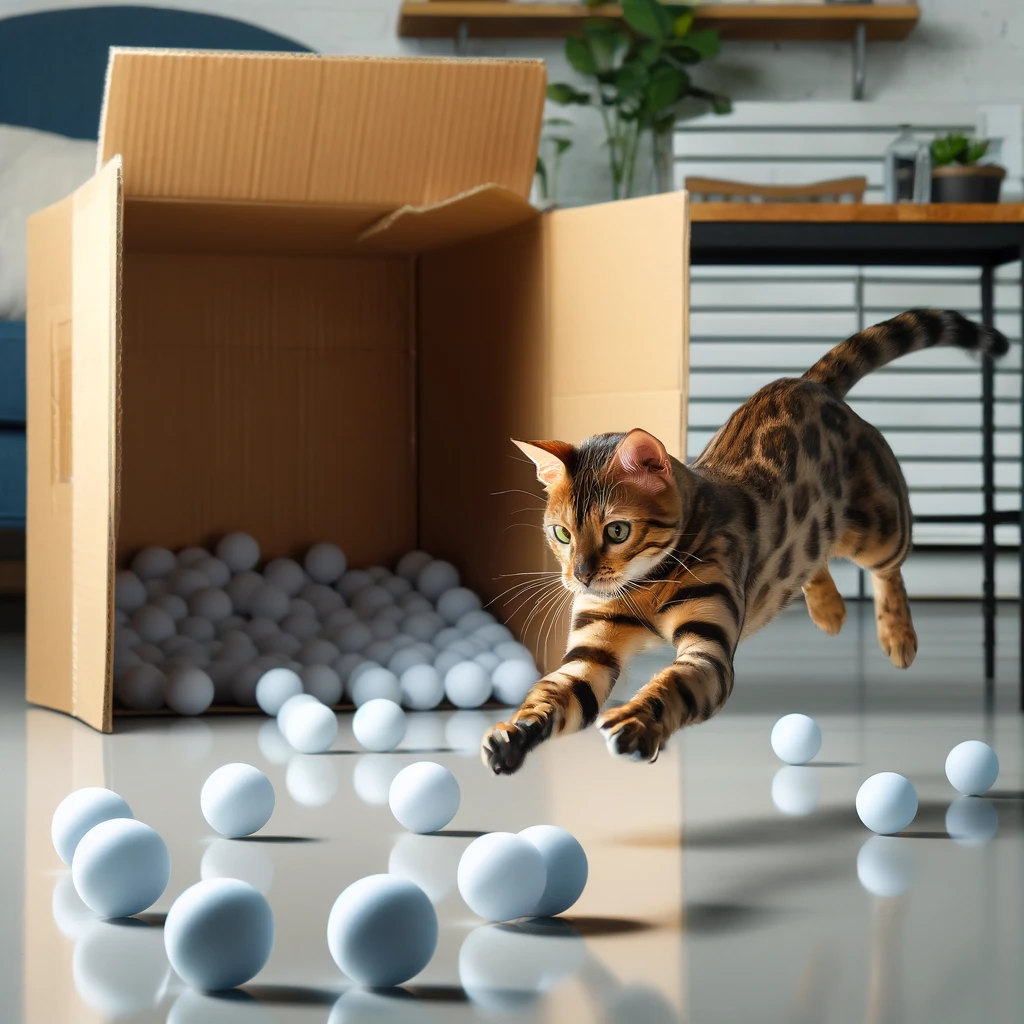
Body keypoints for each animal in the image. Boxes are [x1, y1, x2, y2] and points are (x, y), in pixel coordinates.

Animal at [481, 307, 1007, 770]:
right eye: (562, 533)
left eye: (617, 530)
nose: (581, 577)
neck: (643, 587)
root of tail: (808, 382)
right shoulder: (591, 653)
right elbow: (549, 695)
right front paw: (514, 733)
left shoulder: (708, 650)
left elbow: (670, 687)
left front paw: (638, 720)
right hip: (818, 532)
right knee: (810, 555)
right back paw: (829, 611)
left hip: (879, 526)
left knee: (887, 568)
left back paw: (898, 635)